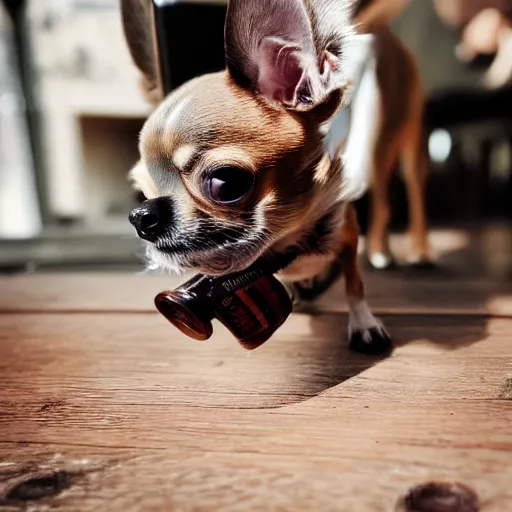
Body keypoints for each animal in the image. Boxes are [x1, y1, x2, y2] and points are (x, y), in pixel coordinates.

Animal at [122, 0, 426, 352]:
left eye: (225, 182)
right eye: (141, 192)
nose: (141, 216)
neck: (288, 244)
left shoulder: (348, 238)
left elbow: (354, 285)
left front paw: (364, 324)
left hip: (397, 139)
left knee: (400, 193)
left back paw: (407, 252)